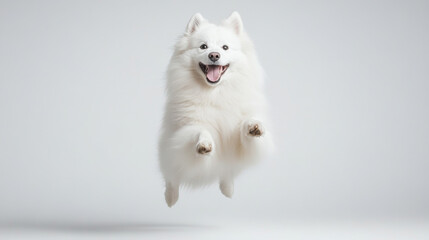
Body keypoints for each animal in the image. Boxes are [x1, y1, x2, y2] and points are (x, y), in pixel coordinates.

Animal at [159, 11, 270, 206]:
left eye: (225, 47)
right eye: (203, 46)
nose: (214, 55)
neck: (215, 93)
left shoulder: (236, 137)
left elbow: (246, 122)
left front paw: (254, 126)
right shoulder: (185, 129)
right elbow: (200, 130)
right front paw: (205, 144)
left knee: (227, 174)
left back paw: (228, 190)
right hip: (169, 157)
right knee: (172, 178)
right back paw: (171, 198)